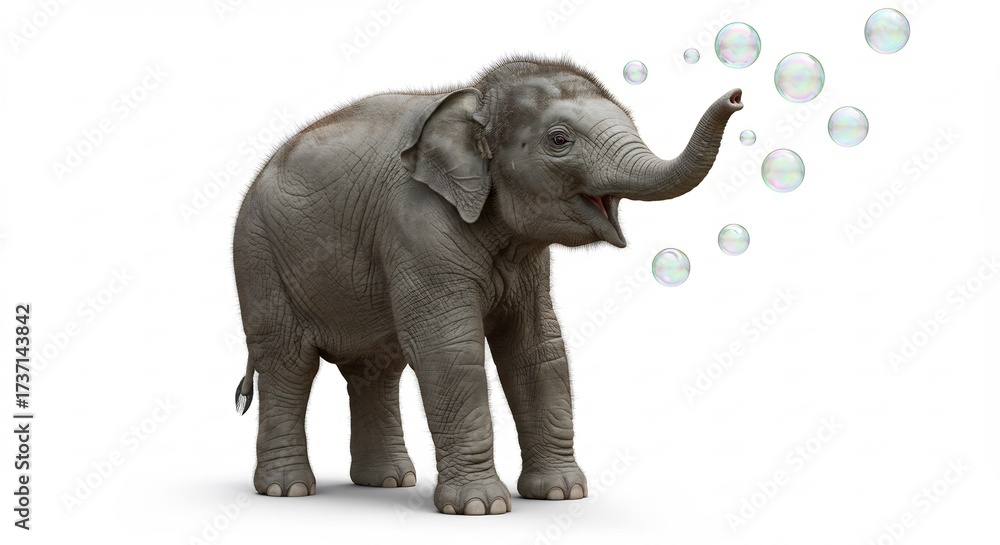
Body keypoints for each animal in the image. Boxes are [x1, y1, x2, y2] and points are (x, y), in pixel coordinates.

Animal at [232, 55, 742, 515]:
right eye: (560, 140)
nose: (737, 95)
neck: (474, 102)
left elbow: (537, 348)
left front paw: (561, 494)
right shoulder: (417, 225)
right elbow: (448, 350)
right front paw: (481, 507)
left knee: (375, 369)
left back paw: (388, 483)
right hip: (259, 259)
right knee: (289, 363)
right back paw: (287, 490)